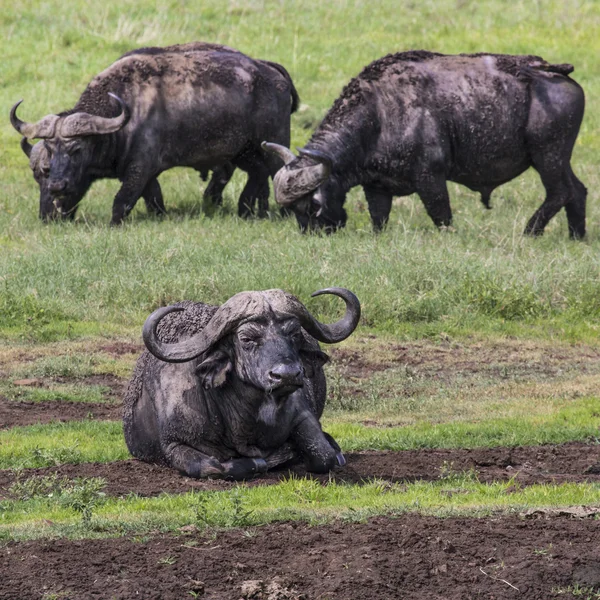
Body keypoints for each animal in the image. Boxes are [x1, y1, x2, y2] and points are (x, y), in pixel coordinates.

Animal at [10, 42, 298, 224]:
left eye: (77, 149)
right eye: (50, 152)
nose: (57, 187)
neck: (125, 112)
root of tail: (271, 73)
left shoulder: (139, 169)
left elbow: (122, 202)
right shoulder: (145, 175)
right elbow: (154, 200)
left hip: (272, 146)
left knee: (276, 173)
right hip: (243, 151)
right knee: (256, 175)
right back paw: (244, 211)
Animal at [120, 286, 356, 478]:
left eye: (295, 334)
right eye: (246, 339)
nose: (288, 375)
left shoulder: (304, 416)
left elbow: (324, 456)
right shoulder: (173, 443)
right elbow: (212, 467)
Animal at [264, 51, 588, 238]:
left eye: (313, 206)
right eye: (293, 211)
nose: (315, 234)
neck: (378, 112)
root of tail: (553, 71)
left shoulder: (430, 177)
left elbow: (440, 214)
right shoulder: (376, 186)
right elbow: (378, 219)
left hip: (547, 155)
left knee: (560, 192)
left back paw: (530, 231)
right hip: (560, 158)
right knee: (578, 190)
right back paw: (577, 235)